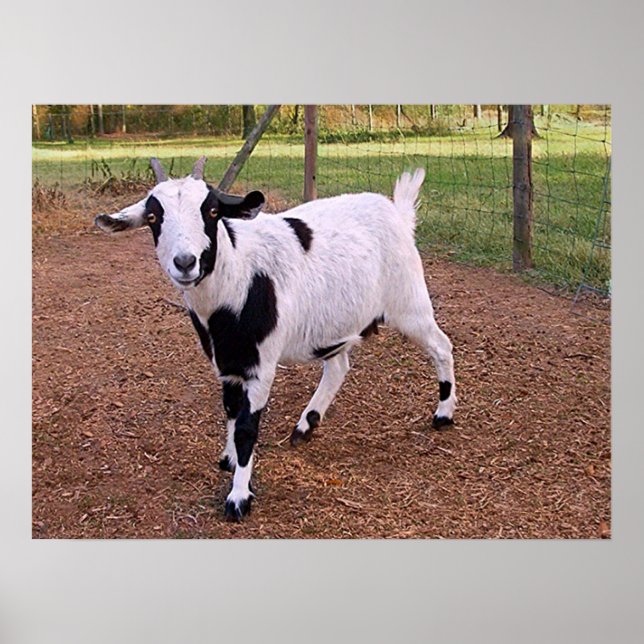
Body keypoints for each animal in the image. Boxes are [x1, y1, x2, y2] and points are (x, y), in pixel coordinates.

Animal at [94, 157, 457, 520]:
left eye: (212, 211)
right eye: (153, 217)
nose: (185, 262)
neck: (237, 279)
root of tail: (398, 212)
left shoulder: (261, 366)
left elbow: (246, 428)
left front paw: (239, 497)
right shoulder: (228, 363)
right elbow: (230, 411)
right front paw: (229, 461)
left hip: (409, 302)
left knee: (442, 347)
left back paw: (443, 414)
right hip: (334, 322)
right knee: (338, 365)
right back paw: (307, 424)